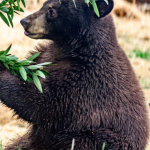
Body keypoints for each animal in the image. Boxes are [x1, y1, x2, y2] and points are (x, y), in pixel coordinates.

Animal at [0, 0, 149, 149]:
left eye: (51, 11)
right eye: (44, 4)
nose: (24, 21)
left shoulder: (84, 79)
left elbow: (41, 101)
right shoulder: (44, 54)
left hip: (100, 137)